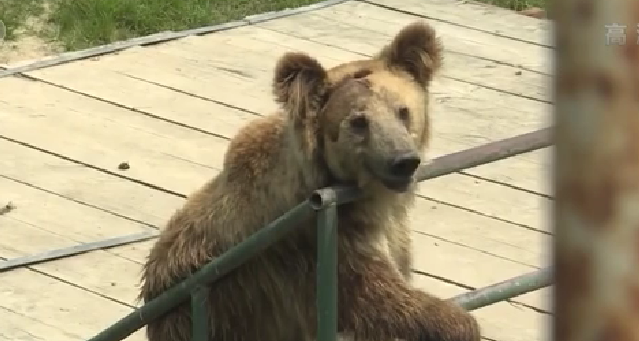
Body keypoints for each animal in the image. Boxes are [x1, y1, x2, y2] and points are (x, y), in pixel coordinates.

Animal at [140, 20, 480, 340]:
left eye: (403, 111)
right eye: (359, 122)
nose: (403, 162)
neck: (370, 200)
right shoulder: (312, 246)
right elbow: (374, 297)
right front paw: (459, 322)